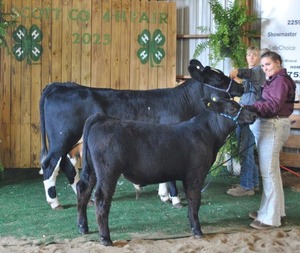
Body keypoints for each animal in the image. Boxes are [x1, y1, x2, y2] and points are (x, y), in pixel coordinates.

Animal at [38, 59, 244, 210]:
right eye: (218, 79)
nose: (241, 88)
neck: (183, 103)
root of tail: (60, 86)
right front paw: (175, 199)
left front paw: (164, 195)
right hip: (61, 138)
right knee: (50, 164)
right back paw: (54, 202)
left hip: (71, 142)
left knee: (66, 165)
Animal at [76, 97, 256, 245]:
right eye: (232, 108)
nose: (253, 115)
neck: (207, 133)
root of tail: (103, 118)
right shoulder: (196, 174)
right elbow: (195, 201)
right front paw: (197, 230)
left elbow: (191, 202)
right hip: (108, 171)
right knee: (101, 198)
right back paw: (105, 238)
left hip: (92, 170)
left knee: (83, 189)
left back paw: (83, 227)